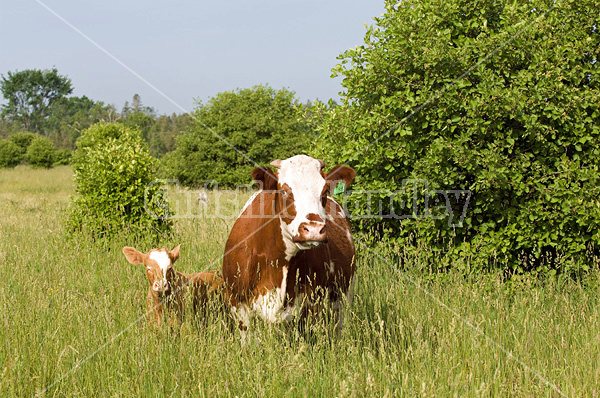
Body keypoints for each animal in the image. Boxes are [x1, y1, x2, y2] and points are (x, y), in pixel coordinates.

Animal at [224, 155, 356, 332]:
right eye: (284, 190)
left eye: (325, 190)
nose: (313, 229)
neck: (279, 262)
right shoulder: (237, 303)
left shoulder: (311, 306)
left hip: (344, 298)